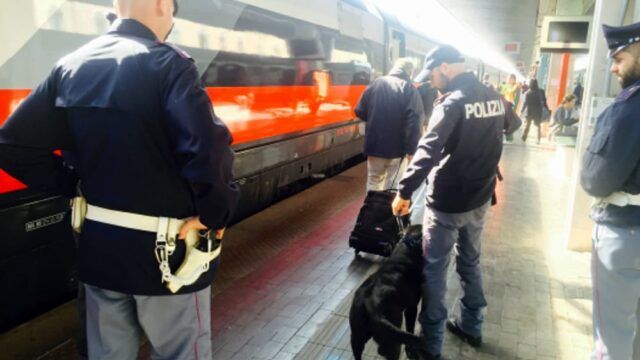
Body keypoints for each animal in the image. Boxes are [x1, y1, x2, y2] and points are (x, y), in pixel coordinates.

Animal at [350, 226, 424, 358]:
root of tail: (370, 305)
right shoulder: (411, 308)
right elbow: (410, 327)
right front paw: (411, 350)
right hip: (393, 329)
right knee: (388, 349)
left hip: (356, 335)